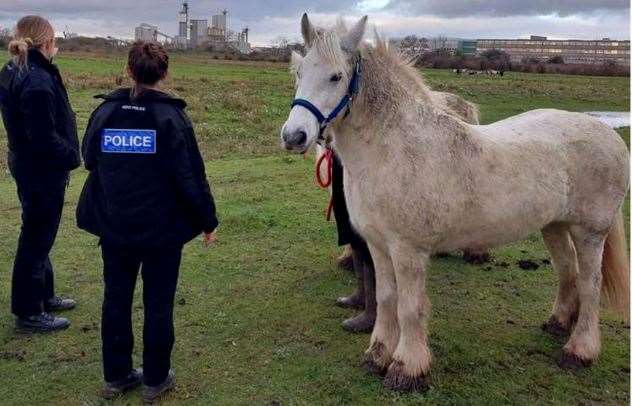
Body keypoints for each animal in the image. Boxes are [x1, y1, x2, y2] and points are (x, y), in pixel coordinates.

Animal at [284, 14, 628, 392]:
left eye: (336, 77)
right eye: (300, 73)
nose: (294, 136)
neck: (395, 148)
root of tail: (607, 133)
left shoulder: (408, 250)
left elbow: (409, 307)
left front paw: (406, 367)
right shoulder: (378, 245)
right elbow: (386, 299)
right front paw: (376, 355)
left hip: (589, 232)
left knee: (590, 284)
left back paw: (579, 351)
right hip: (554, 226)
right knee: (568, 271)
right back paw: (557, 323)